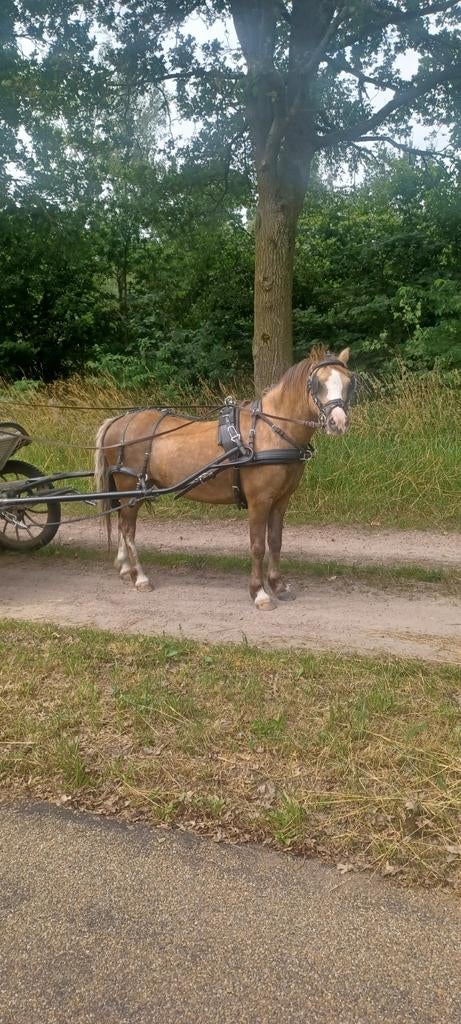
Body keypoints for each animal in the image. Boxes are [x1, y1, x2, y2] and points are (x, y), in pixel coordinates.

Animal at [94, 347, 356, 611]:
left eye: (348, 382)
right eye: (317, 384)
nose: (338, 422)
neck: (271, 431)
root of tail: (117, 421)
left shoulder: (281, 500)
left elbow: (275, 542)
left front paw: (278, 586)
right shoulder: (259, 501)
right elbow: (258, 546)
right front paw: (259, 593)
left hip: (130, 492)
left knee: (121, 523)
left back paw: (125, 568)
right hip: (130, 487)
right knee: (128, 529)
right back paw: (140, 577)